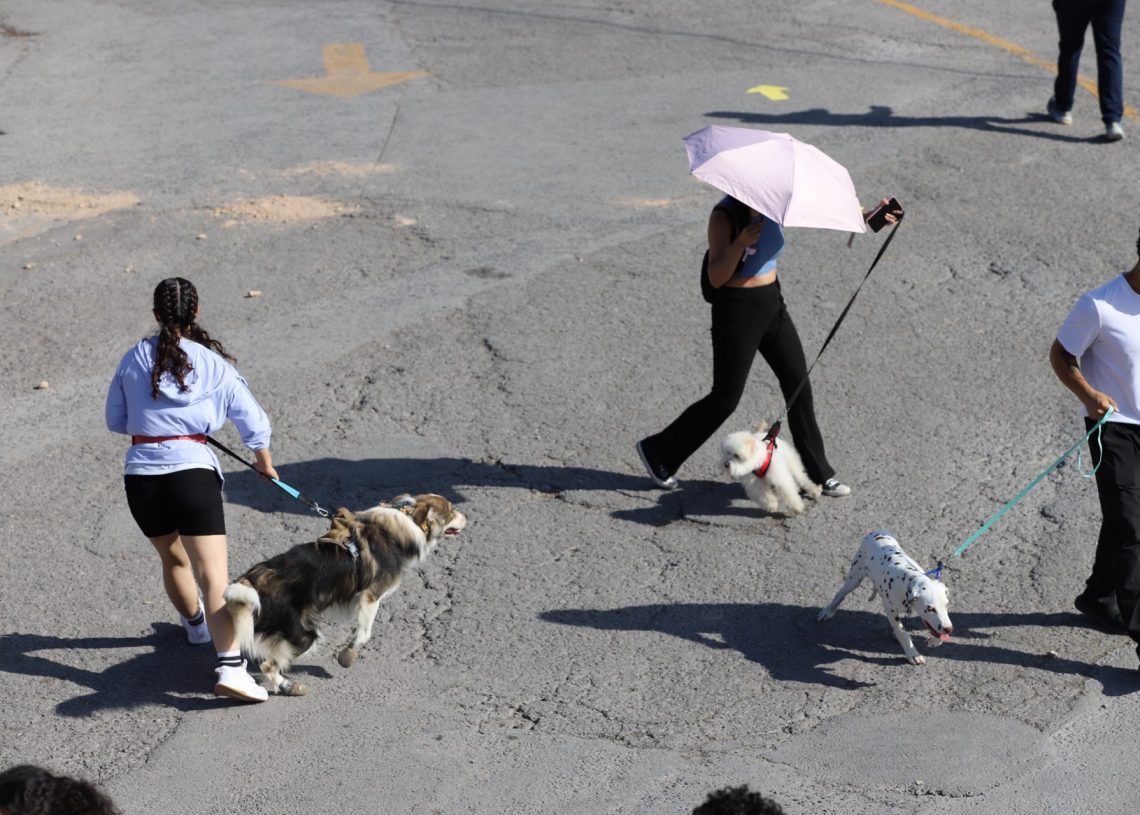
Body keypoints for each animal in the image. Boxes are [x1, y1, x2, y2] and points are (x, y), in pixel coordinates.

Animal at [223, 493, 466, 696]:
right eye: (451, 511)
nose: (466, 517)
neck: (409, 519)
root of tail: (253, 583)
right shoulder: (371, 596)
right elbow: (365, 634)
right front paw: (347, 655)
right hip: (303, 635)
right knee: (269, 664)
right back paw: (288, 686)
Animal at [816, 530, 952, 665]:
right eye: (930, 609)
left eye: (946, 605)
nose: (949, 629)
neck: (907, 580)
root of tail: (877, 531)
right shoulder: (889, 608)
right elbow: (902, 632)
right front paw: (912, 653)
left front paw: (935, 640)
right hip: (854, 578)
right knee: (840, 594)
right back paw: (827, 611)